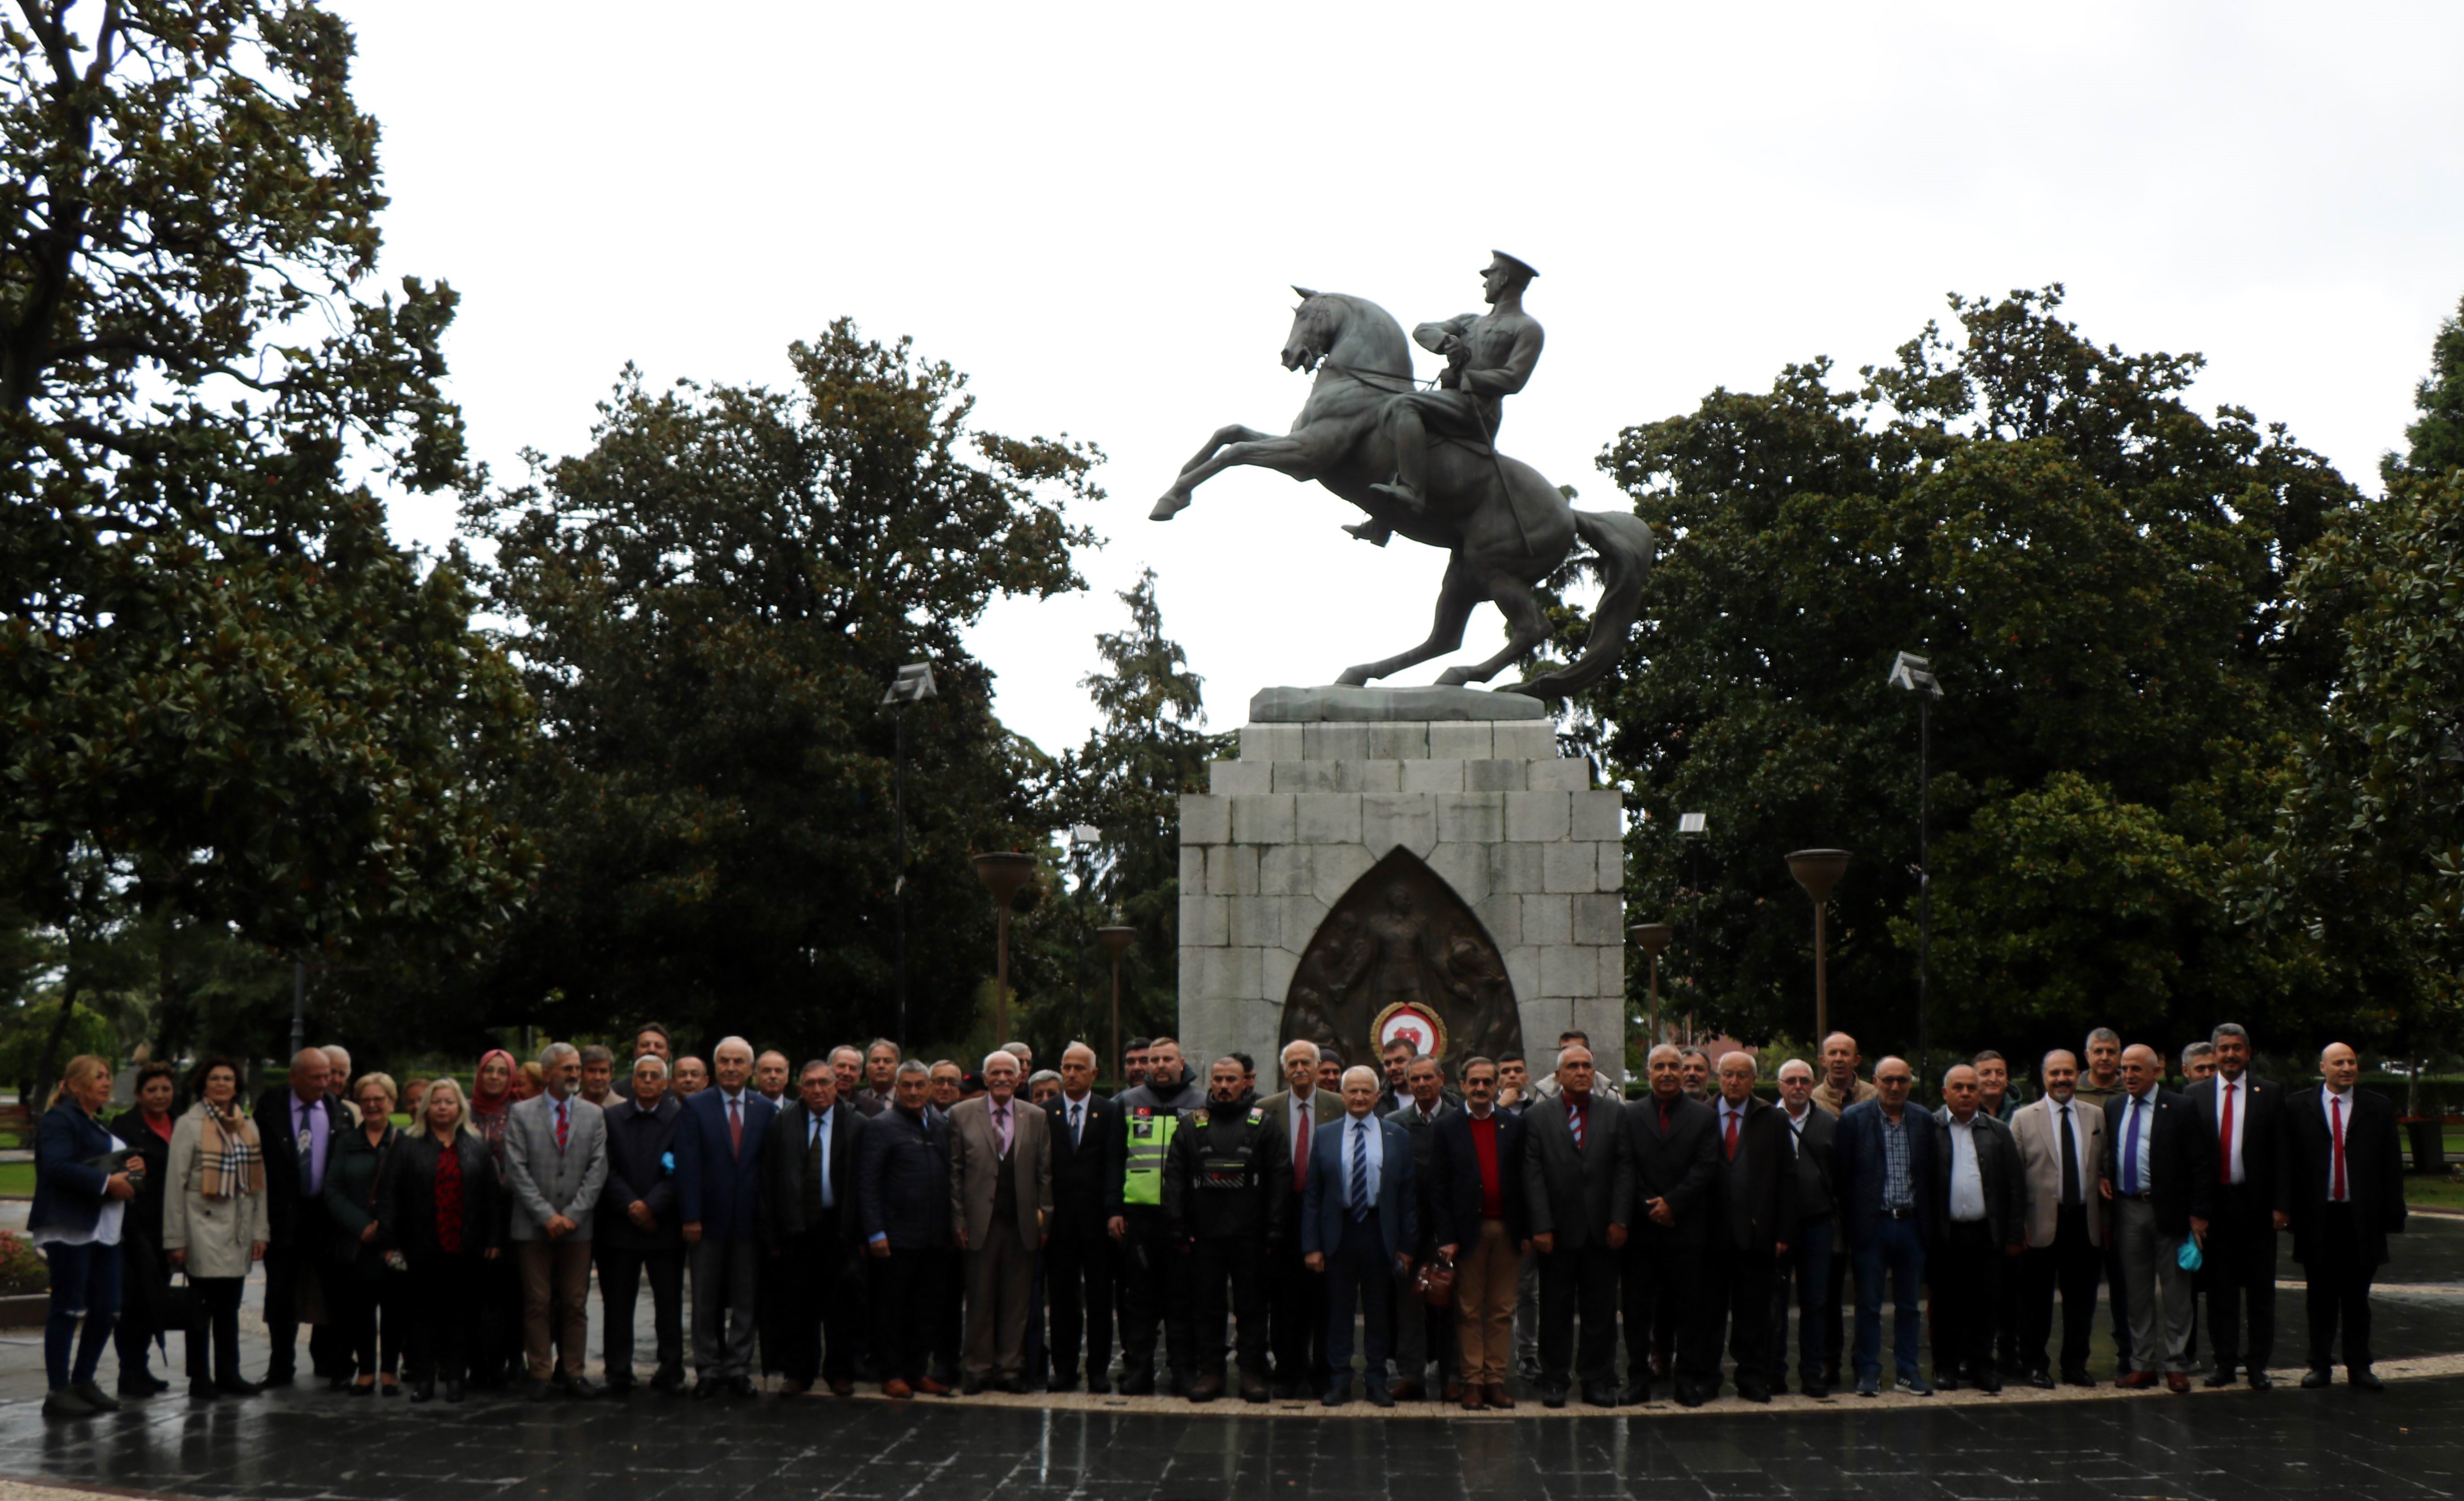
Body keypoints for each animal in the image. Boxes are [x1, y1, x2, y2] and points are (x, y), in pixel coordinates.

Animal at [1138, 288, 1646, 695]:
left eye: (1310, 315)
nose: (1287, 354)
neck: (1358, 383)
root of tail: (1570, 513)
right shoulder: (1296, 445)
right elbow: (1228, 433)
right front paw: (1173, 490)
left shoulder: (1306, 458)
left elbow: (1236, 451)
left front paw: (1170, 502)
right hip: (1464, 571)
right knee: (1443, 638)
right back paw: (1361, 673)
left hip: (1495, 569)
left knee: (1529, 630)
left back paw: (1459, 678)